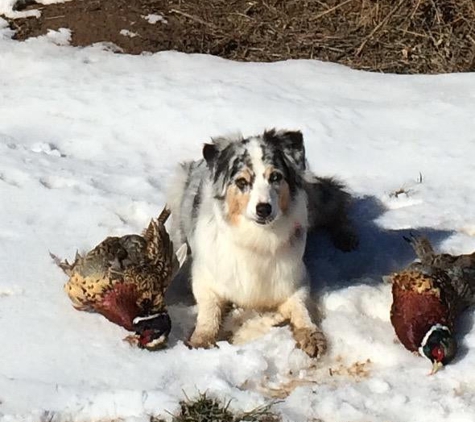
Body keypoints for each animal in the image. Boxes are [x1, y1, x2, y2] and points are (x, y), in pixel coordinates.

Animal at [167, 129, 356, 356]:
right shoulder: (205, 278)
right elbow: (209, 311)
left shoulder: (294, 280)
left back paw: (346, 237)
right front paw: (200, 339)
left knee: (337, 200)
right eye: (242, 182)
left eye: (275, 177)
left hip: (313, 201)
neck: (257, 238)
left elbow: (301, 308)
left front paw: (311, 334)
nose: (263, 209)